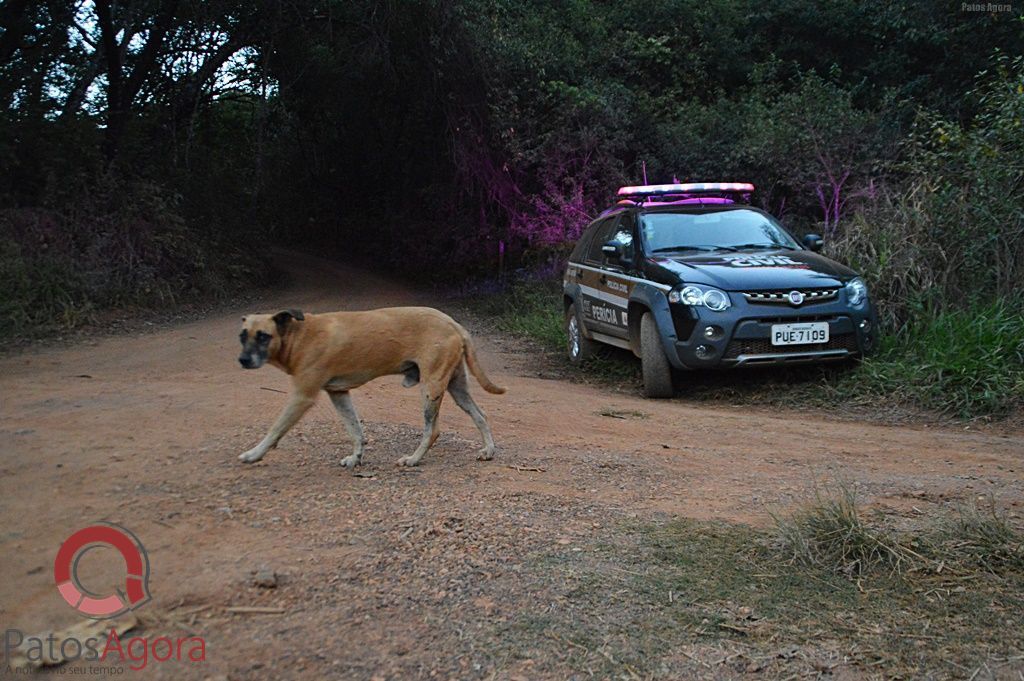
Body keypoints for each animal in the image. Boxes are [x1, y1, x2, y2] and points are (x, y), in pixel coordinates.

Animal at [233, 307, 503, 466]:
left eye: (263, 336)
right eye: (242, 335)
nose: (243, 360)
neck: (299, 335)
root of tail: (453, 323)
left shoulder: (302, 397)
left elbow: (275, 429)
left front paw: (254, 454)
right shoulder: (339, 394)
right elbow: (355, 430)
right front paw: (356, 457)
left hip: (431, 389)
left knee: (433, 430)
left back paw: (413, 459)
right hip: (457, 389)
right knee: (480, 415)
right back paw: (488, 450)